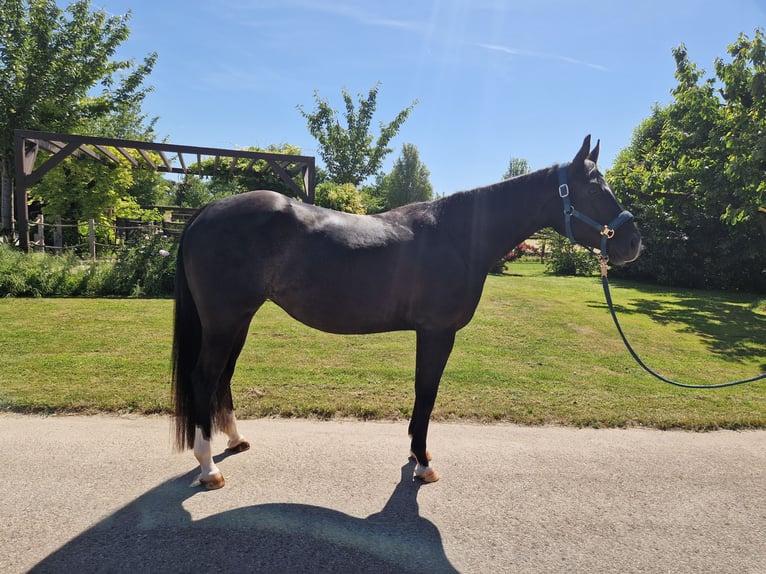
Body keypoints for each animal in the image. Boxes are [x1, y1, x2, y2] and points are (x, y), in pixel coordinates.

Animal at [172, 135, 642, 489]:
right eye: (595, 189)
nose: (633, 244)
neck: (456, 236)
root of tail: (206, 212)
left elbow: (422, 392)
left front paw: (417, 455)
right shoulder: (436, 332)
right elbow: (426, 392)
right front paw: (422, 462)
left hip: (239, 319)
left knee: (224, 376)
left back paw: (235, 441)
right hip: (224, 320)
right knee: (204, 378)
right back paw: (208, 467)